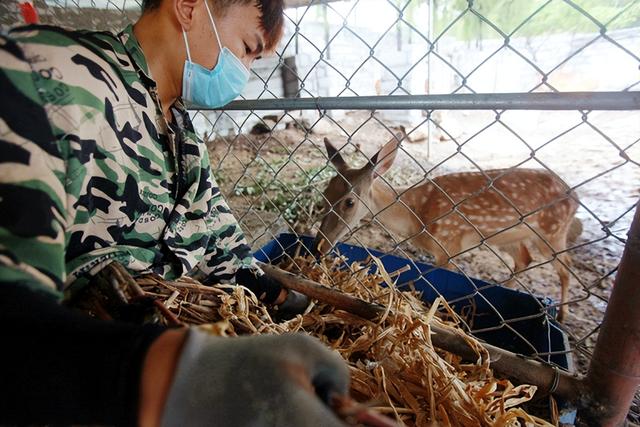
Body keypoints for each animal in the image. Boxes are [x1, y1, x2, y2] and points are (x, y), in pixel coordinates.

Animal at [314, 135, 580, 320]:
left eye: (349, 202)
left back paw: (563, 314)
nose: (320, 245)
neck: (416, 216)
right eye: (325, 193)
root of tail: (575, 197)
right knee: (525, 259)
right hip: (509, 237)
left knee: (565, 267)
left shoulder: (449, 244)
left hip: (553, 230)